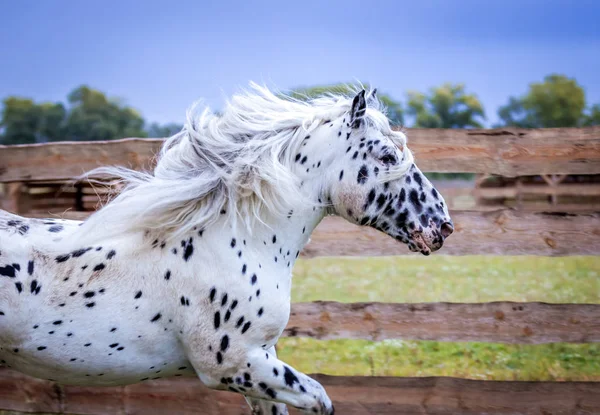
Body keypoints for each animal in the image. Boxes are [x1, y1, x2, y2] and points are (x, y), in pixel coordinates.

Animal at [0, 85, 450, 415]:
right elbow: (321, 400)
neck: (233, 243)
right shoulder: (233, 365)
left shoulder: (259, 364)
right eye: (387, 155)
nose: (441, 225)